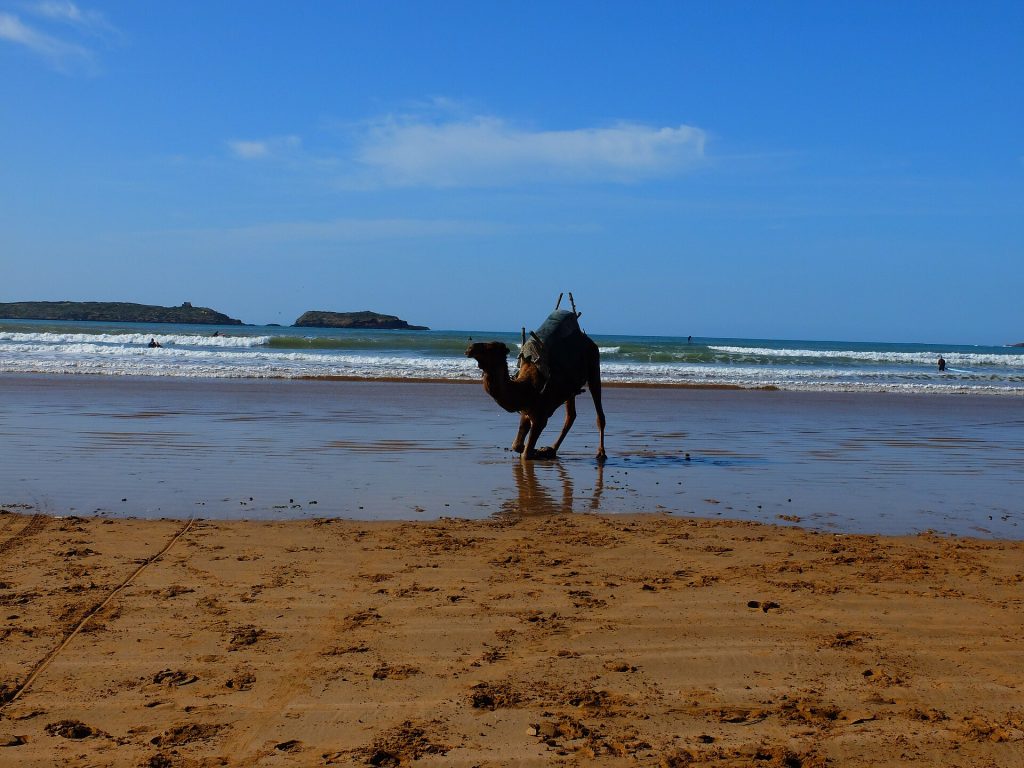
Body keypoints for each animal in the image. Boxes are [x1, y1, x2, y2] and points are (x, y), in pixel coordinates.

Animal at [465, 302, 606, 461]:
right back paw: (551, 450)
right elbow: (517, 445)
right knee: (571, 415)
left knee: (599, 412)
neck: (526, 388)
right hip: (570, 389)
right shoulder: (526, 411)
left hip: (594, 365)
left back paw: (601, 453)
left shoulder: (541, 416)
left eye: (492, 347)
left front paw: (533, 451)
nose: (470, 348)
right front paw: (534, 450)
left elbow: (525, 454)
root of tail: (588, 339)